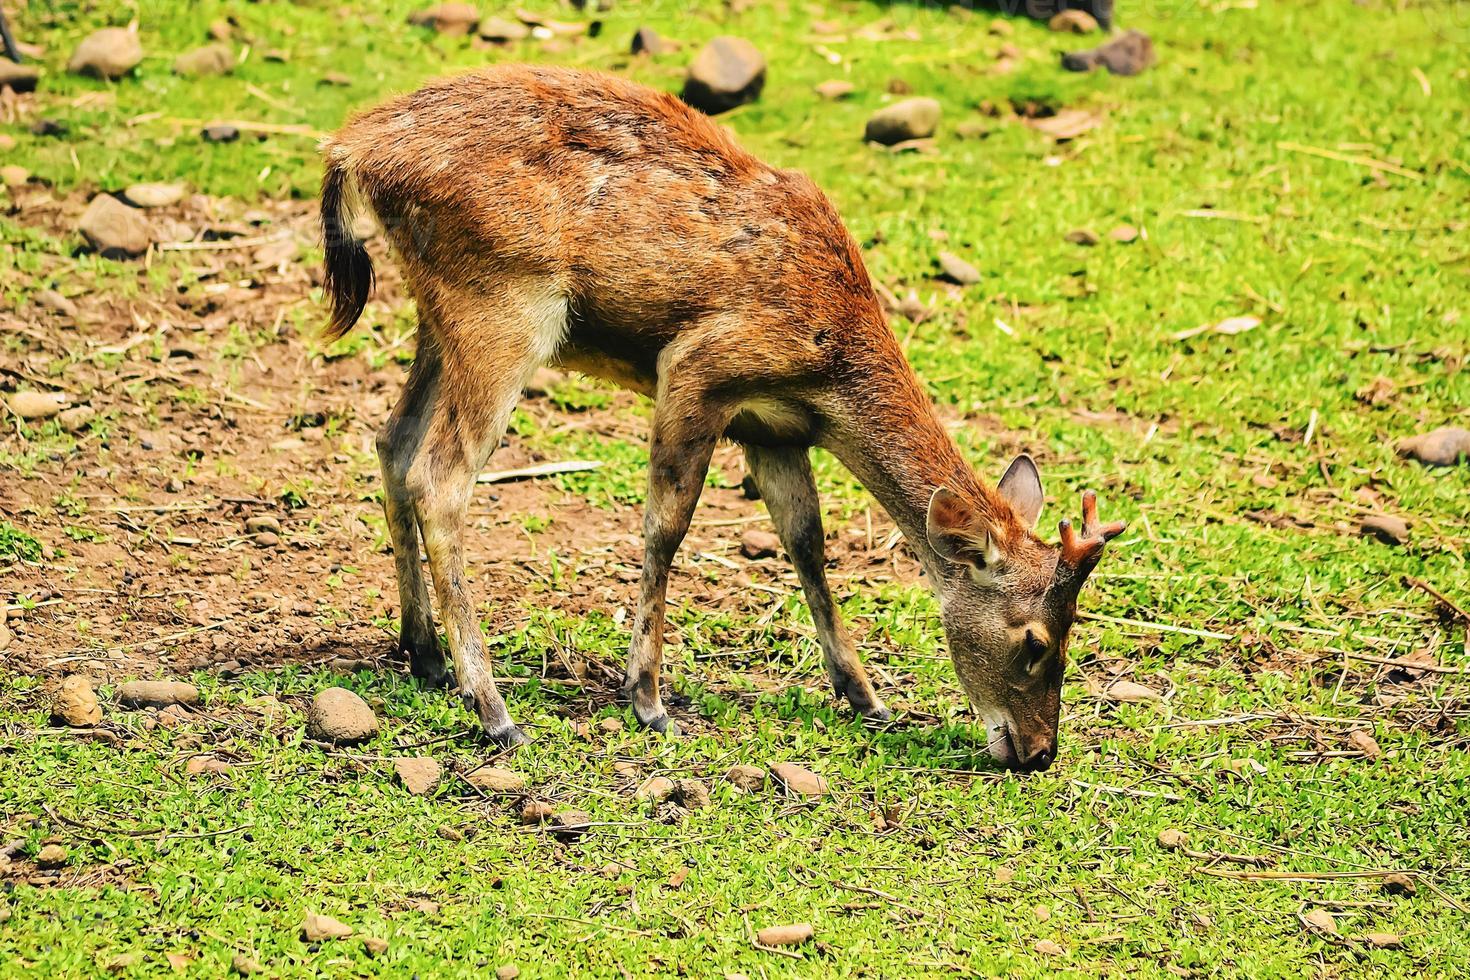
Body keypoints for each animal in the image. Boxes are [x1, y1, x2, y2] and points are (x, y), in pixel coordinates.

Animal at [321, 65, 1123, 769]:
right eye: (1034, 641)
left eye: (1075, 629)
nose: (1038, 753)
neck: (829, 364)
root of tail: (351, 148)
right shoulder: (698, 368)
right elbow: (666, 526)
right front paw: (647, 700)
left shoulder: (776, 429)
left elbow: (807, 542)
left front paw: (865, 696)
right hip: (502, 305)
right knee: (440, 476)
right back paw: (492, 708)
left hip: (439, 315)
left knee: (392, 441)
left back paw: (423, 653)